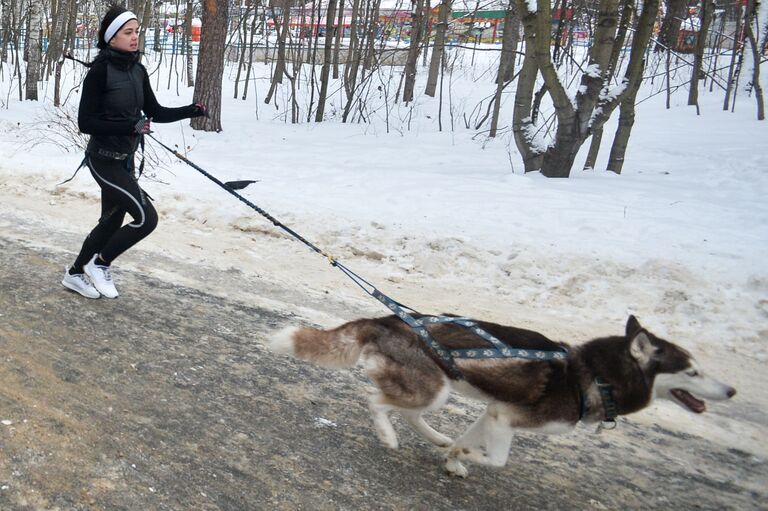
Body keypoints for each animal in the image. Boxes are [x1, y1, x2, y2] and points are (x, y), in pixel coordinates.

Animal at [268, 314, 732, 478]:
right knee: (375, 401)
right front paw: (464, 457)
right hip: (433, 389)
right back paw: (389, 435)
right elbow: (496, 460)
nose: (731, 389)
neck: (593, 376)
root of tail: (386, 319)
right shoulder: (507, 420)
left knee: (411, 412)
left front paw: (454, 455)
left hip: (436, 392)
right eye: (692, 371)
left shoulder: (494, 412)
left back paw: (436, 438)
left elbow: (468, 441)